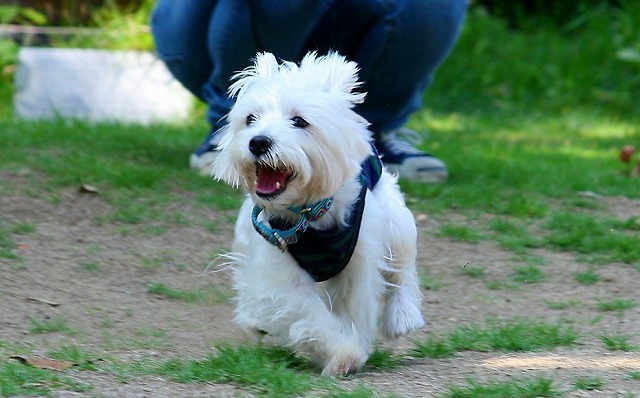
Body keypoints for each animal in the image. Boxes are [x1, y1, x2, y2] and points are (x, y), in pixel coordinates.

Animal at [212, 52, 428, 376]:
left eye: (299, 121)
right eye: (250, 119)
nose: (258, 141)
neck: (308, 213)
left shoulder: (360, 260)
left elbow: (354, 307)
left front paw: (349, 351)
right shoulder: (275, 260)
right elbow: (306, 314)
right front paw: (342, 353)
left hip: (396, 222)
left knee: (402, 269)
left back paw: (403, 316)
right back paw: (252, 319)